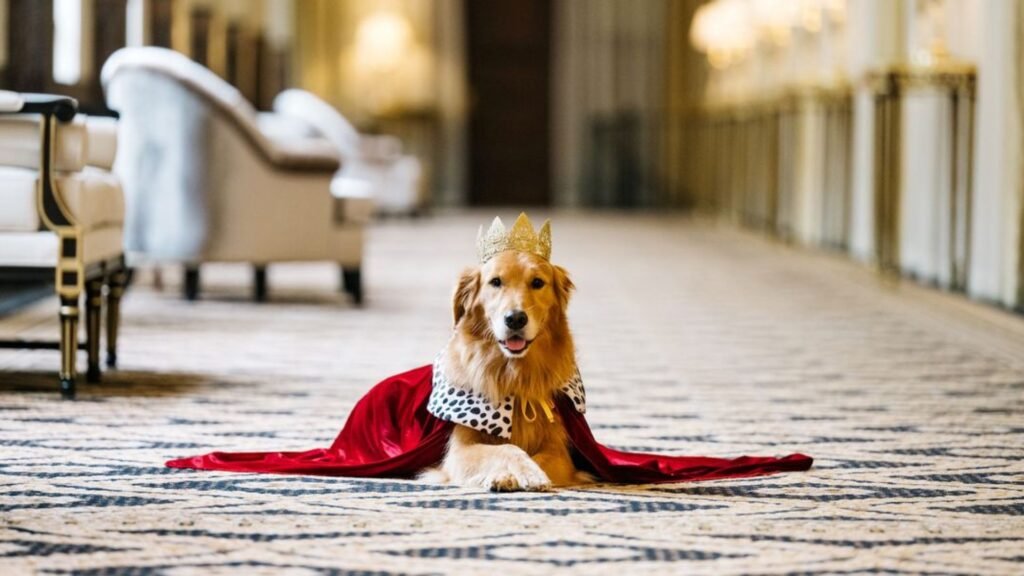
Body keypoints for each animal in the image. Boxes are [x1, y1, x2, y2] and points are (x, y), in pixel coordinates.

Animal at [417, 249, 593, 491]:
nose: (515, 319)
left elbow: (541, 459)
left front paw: (531, 474)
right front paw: (510, 474)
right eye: (495, 282)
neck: (515, 377)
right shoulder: (459, 451)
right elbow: (507, 448)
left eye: (537, 282)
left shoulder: (559, 451)